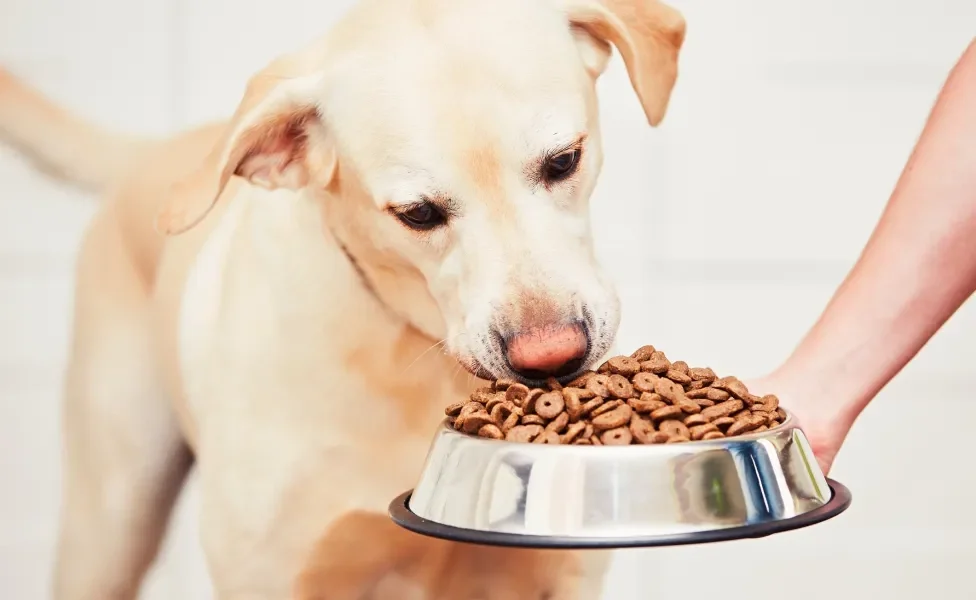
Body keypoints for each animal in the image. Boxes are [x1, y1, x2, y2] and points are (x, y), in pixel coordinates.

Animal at [0, 0, 688, 596]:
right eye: (417, 213)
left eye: (564, 160)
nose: (552, 358)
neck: (412, 349)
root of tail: (155, 149)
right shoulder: (268, 572)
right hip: (112, 519)